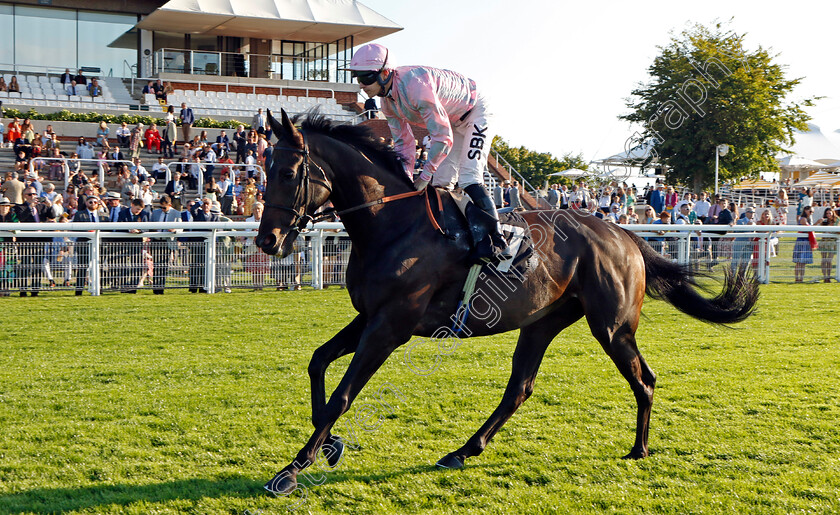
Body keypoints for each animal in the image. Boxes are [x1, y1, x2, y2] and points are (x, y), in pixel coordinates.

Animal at [253, 111, 756, 498]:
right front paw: (328, 444)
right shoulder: (370, 317)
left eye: (287, 173)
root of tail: (623, 233)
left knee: (643, 378)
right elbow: (318, 362)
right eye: (262, 170)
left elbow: (342, 395)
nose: (267, 241)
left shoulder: (391, 325)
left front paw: (291, 470)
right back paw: (463, 450)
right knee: (520, 388)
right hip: (541, 323)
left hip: (612, 327)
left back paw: (639, 449)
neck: (393, 223)